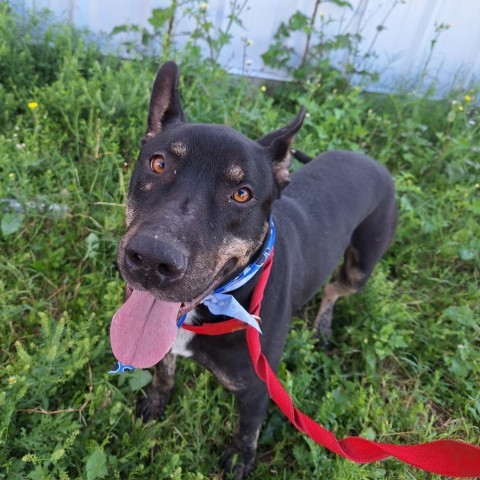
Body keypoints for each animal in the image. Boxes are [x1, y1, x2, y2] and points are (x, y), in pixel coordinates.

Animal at [110, 62, 396, 478]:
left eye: (242, 194)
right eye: (158, 163)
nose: (151, 259)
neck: (224, 298)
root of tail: (373, 162)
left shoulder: (258, 389)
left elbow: (247, 429)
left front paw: (240, 460)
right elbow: (163, 372)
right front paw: (155, 402)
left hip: (361, 266)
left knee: (334, 289)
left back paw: (323, 326)